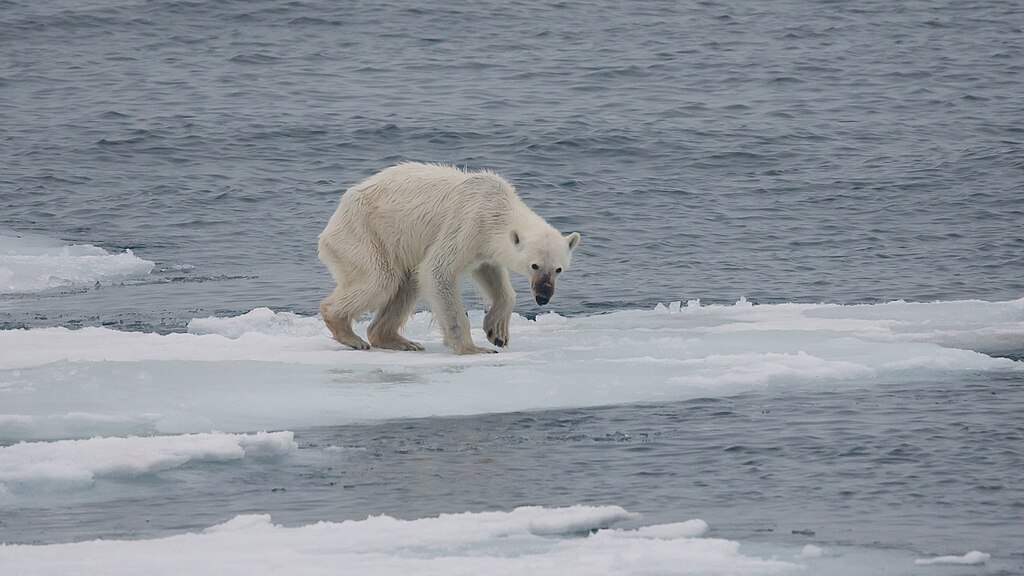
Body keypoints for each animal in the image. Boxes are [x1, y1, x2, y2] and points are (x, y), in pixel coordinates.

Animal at [317, 162, 581, 355]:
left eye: (558, 269)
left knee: (407, 283)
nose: (543, 296)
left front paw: (497, 332)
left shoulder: (482, 245)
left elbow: (491, 273)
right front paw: (473, 348)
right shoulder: (467, 224)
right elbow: (437, 271)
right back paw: (349, 334)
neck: (496, 207)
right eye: (534, 265)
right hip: (363, 233)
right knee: (381, 278)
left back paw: (399, 341)